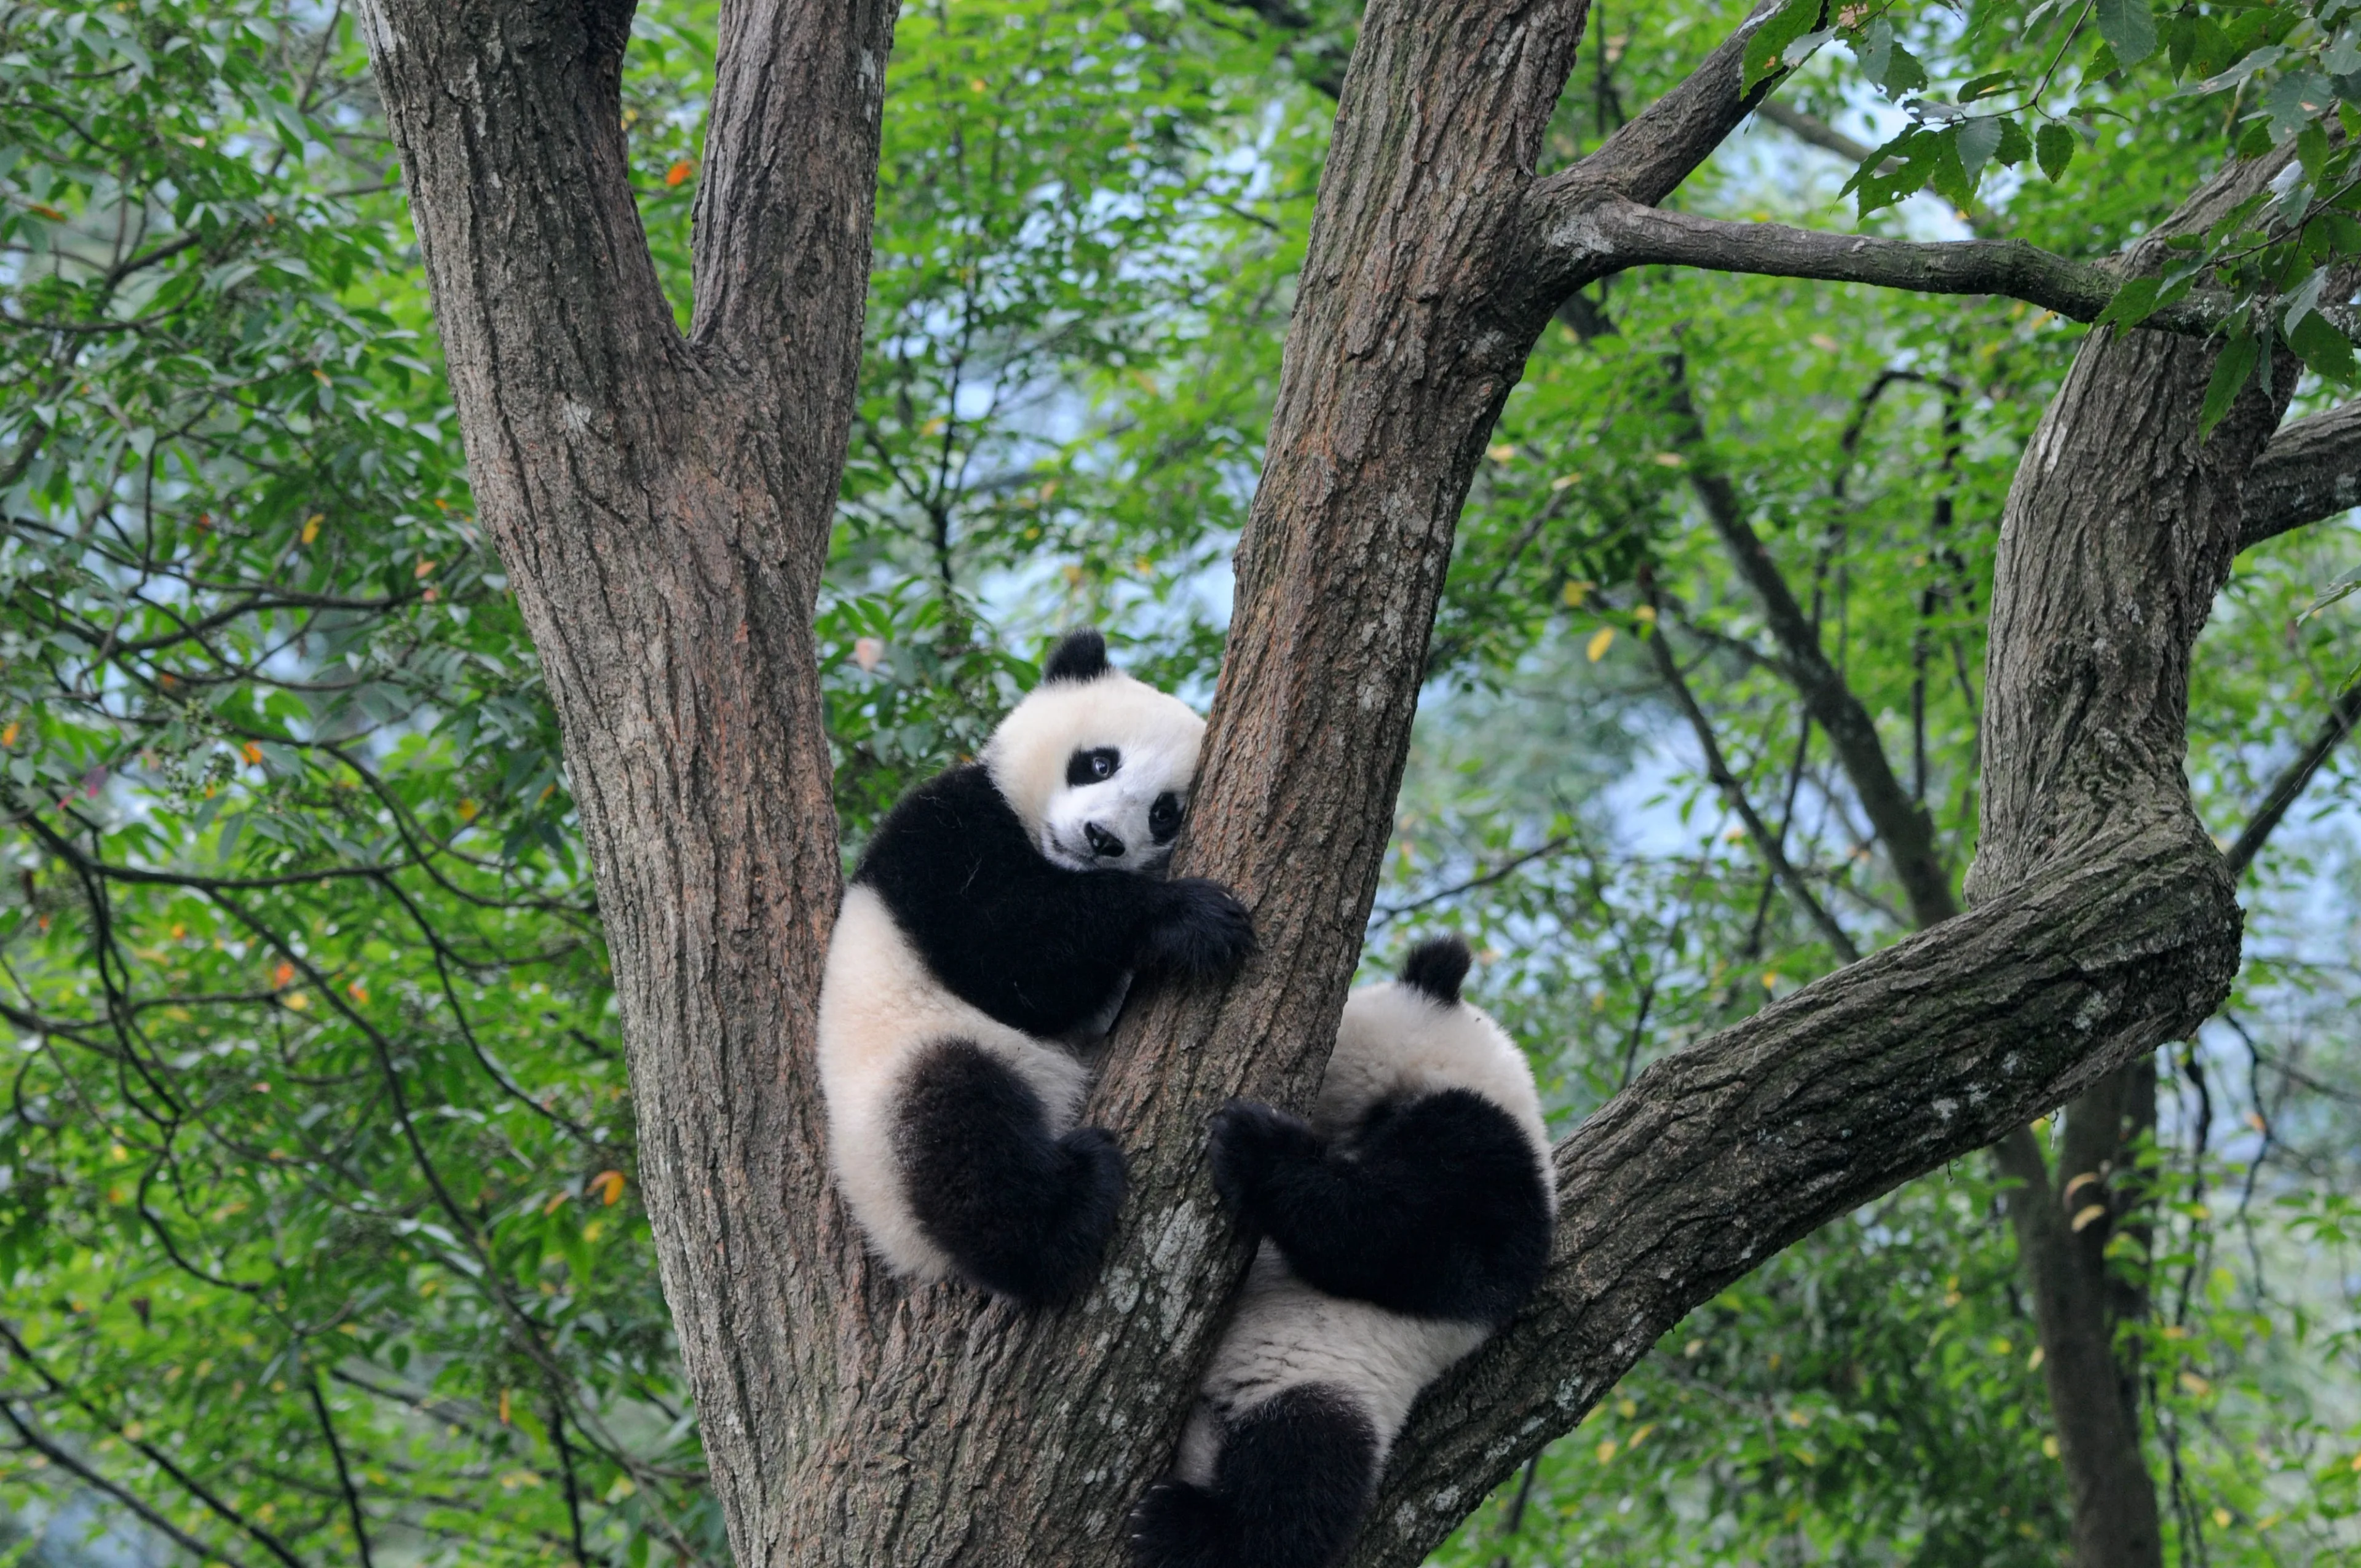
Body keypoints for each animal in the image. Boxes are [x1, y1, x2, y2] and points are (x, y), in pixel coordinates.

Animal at [817, 629, 1255, 1307]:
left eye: (1165, 813)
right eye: (1100, 763)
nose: (1102, 838)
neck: (1051, 858)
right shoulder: (942, 831)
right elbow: (1007, 955)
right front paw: (1189, 918)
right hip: (896, 1093)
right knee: (962, 1135)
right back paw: (1061, 1220)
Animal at [1128, 935, 1555, 1568]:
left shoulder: (1494, 1167)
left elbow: (1397, 1241)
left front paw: (1254, 1143)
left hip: (1327, 1384)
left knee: (1303, 1471)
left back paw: (1187, 1529)